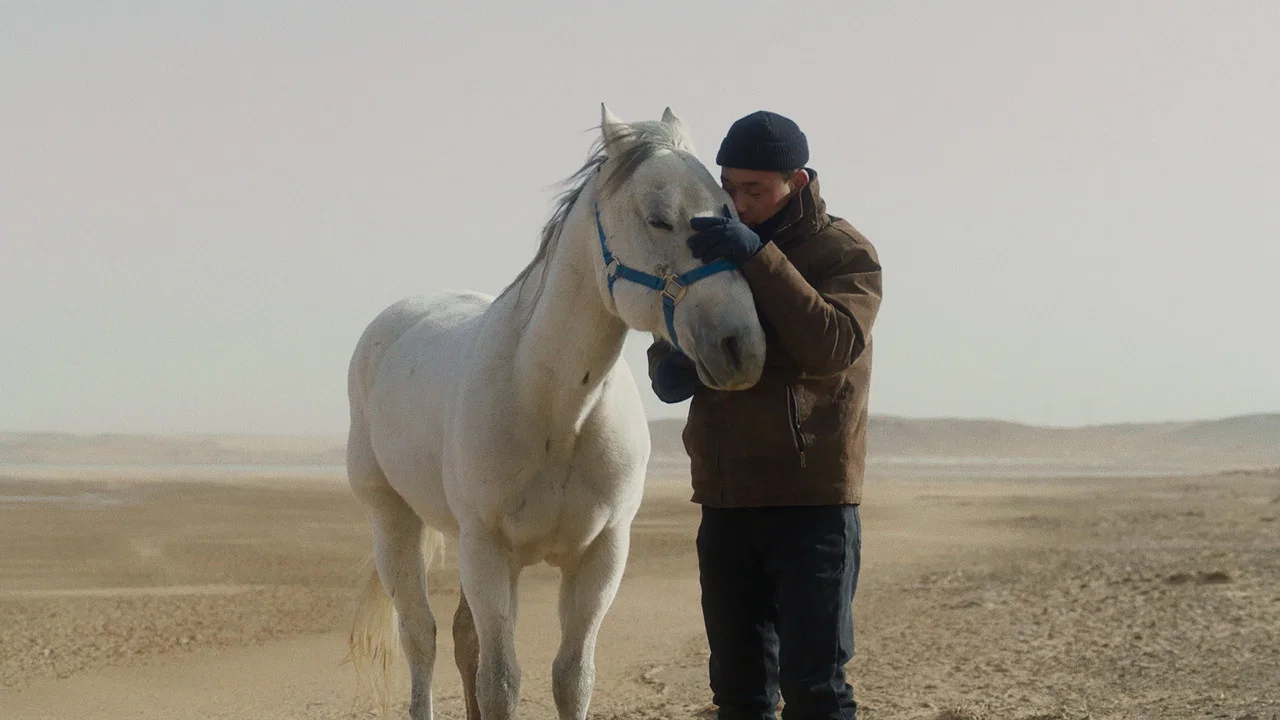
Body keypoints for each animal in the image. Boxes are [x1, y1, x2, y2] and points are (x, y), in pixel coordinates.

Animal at [344, 105, 766, 720]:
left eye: (730, 211)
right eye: (659, 219)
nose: (741, 346)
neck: (556, 410)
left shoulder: (600, 556)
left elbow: (572, 676)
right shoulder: (488, 552)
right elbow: (501, 681)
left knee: (461, 635)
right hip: (394, 517)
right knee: (420, 637)